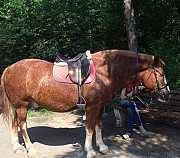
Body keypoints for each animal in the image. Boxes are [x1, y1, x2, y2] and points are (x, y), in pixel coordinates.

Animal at [0, 49, 169, 158]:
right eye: (160, 74)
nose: (166, 94)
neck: (105, 72)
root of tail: (8, 69)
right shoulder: (91, 107)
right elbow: (90, 129)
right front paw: (90, 151)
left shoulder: (100, 107)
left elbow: (99, 126)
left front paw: (102, 147)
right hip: (22, 106)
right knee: (22, 126)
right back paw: (31, 150)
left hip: (18, 107)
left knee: (15, 123)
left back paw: (16, 147)